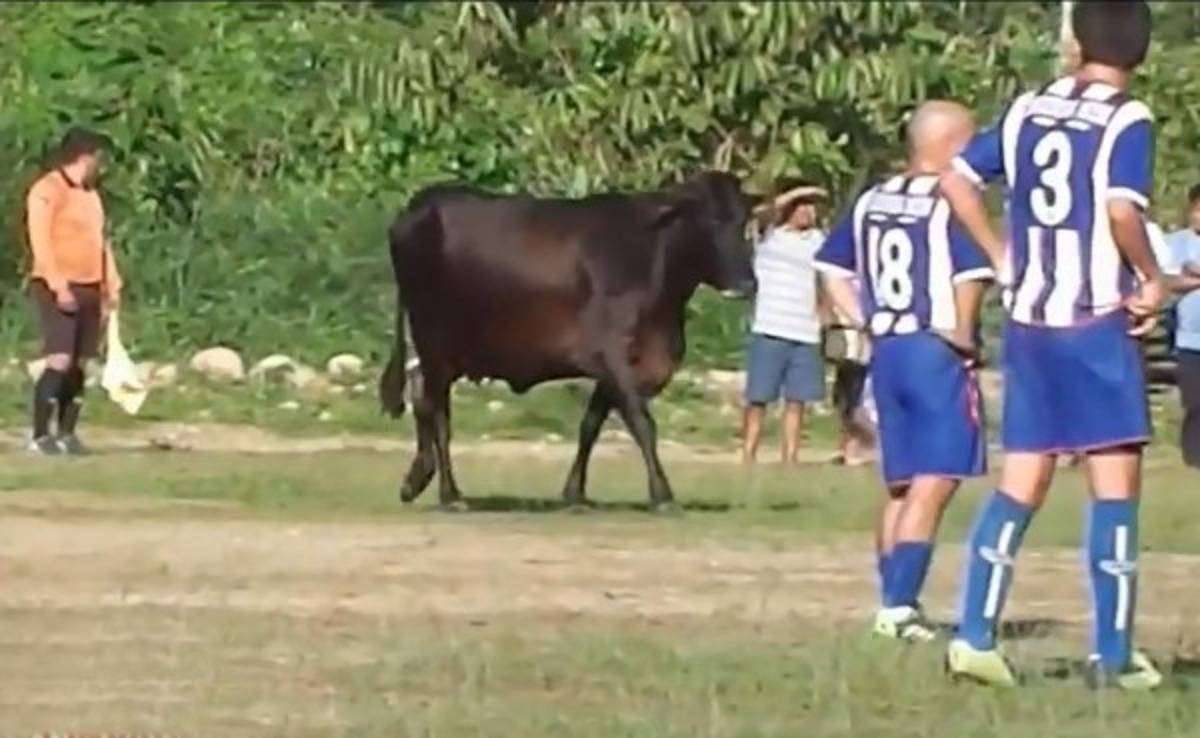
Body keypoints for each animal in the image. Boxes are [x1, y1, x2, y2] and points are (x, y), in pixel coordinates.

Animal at [378, 171, 755, 513]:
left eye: (743, 222)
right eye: (709, 220)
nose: (747, 284)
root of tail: (421, 203)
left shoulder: (620, 368)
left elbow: (590, 425)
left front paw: (575, 494)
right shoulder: (613, 354)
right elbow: (642, 423)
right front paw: (662, 495)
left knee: (424, 404)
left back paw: (418, 479)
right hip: (434, 343)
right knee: (437, 414)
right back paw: (450, 495)